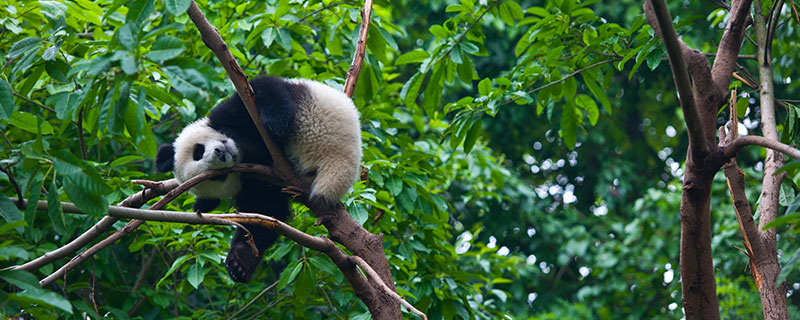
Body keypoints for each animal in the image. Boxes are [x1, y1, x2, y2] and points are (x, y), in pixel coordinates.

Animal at [156, 77, 362, 282]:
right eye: (217, 176)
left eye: (197, 151)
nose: (221, 154)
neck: (244, 149)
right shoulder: (253, 183)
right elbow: (265, 212)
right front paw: (240, 262)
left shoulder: (230, 114)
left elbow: (261, 89)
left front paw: (275, 122)